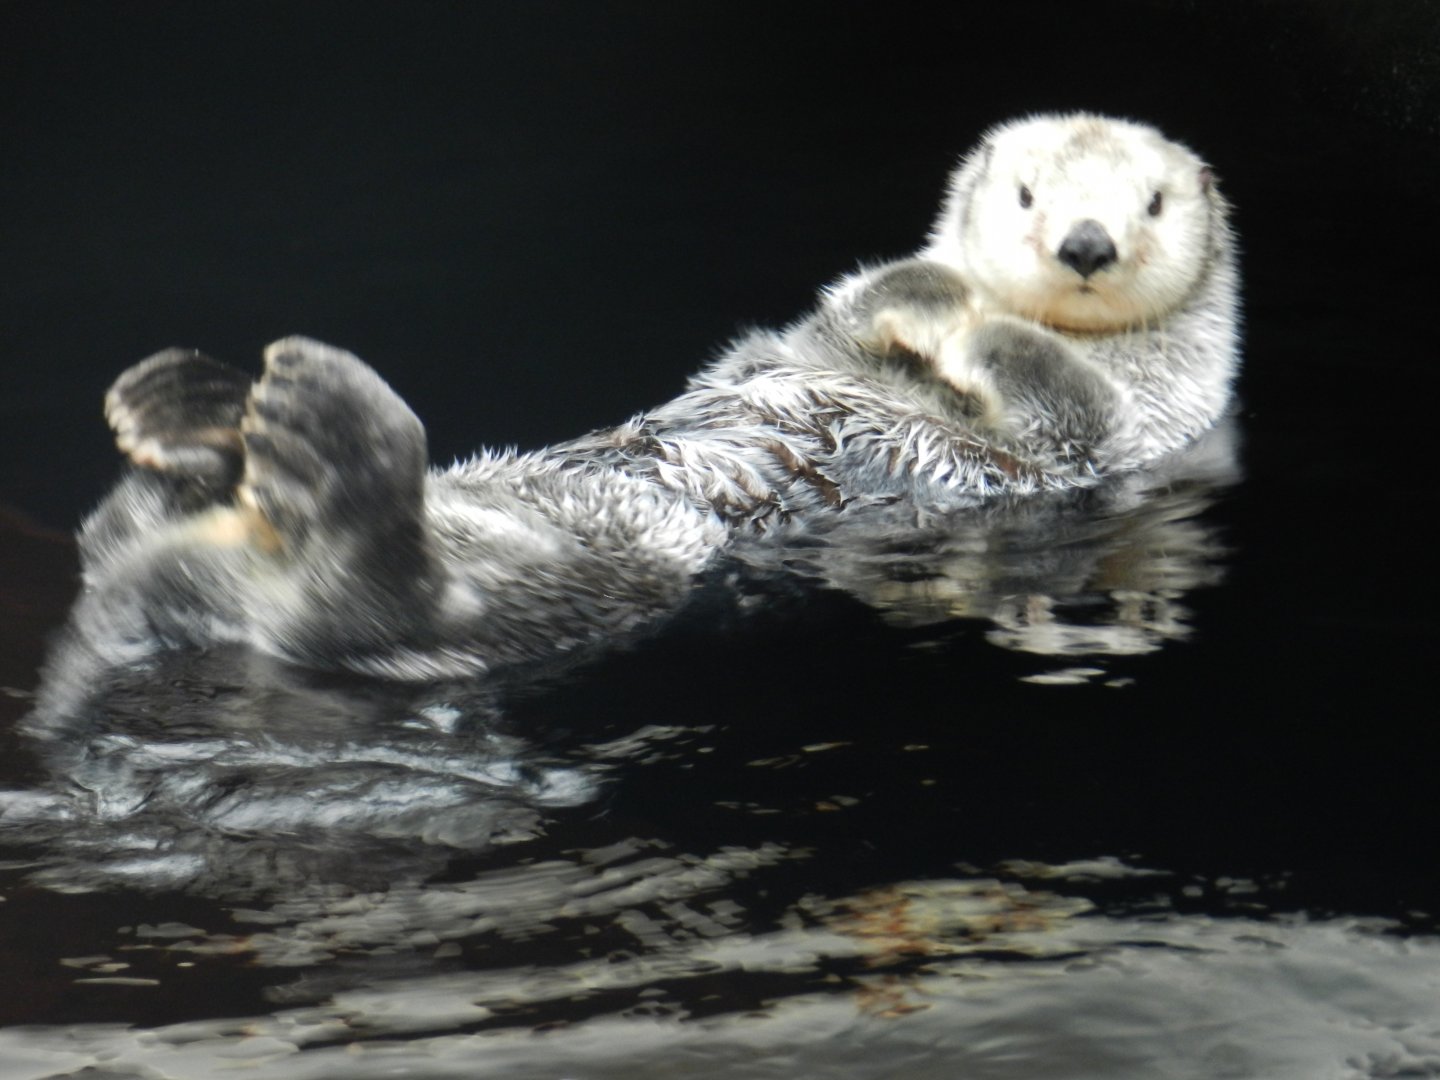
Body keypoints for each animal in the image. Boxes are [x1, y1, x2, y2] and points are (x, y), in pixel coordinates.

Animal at [66, 114, 1239, 680]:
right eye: (1029, 194)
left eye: (1150, 203)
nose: (1084, 246)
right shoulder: (795, 335)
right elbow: (839, 314)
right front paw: (920, 293)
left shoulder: (1129, 429)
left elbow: (1059, 395)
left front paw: (963, 319)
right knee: (122, 533)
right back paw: (188, 416)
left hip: (602, 563)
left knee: (386, 608)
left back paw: (314, 444)